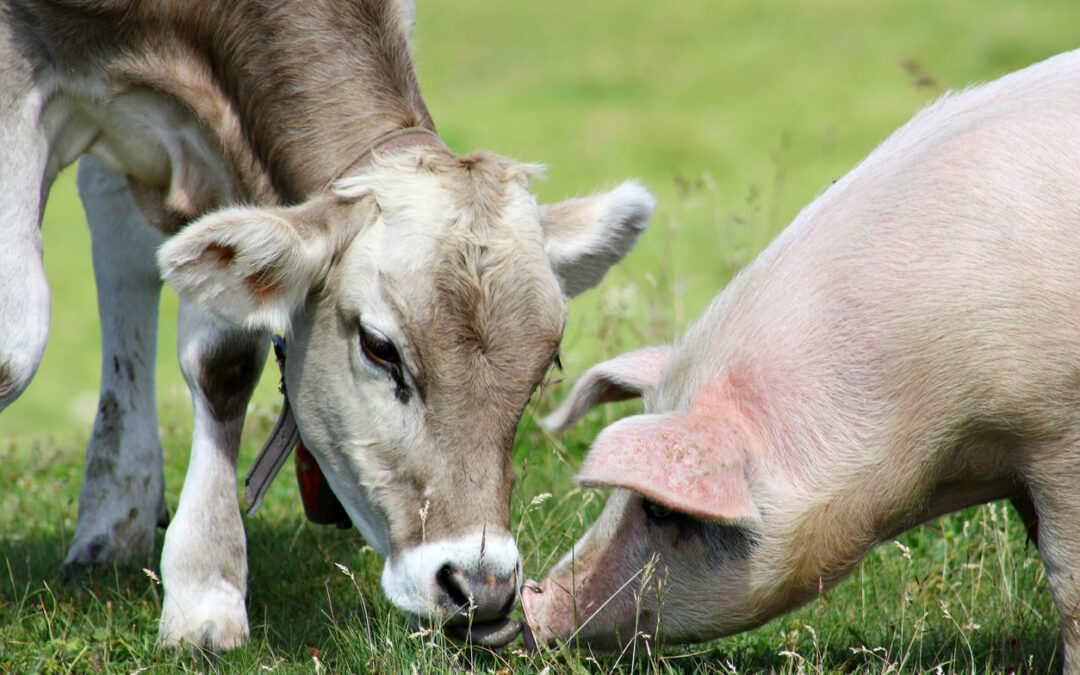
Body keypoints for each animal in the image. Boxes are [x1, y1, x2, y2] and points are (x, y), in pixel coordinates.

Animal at [0, 0, 654, 650]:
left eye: (547, 365)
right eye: (380, 347)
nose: (481, 588)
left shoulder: (227, 141)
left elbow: (224, 359)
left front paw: (202, 589)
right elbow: (17, 348)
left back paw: (117, 511)